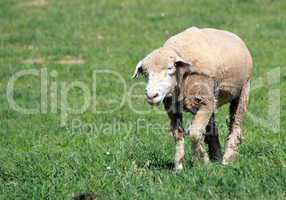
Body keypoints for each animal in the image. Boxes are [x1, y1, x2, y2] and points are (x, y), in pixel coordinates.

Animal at [132, 27, 252, 170]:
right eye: (145, 73)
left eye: (170, 68)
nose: (151, 95)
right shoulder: (173, 108)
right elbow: (178, 134)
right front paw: (178, 166)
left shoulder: (206, 102)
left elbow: (194, 133)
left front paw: (202, 162)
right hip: (210, 99)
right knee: (211, 128)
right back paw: (216, 157)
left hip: (243, 89)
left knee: (235, 123)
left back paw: (227, 159)